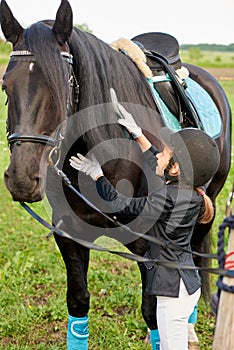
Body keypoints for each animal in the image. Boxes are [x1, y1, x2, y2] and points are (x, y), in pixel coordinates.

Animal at [0, 0, 231, 348]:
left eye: (59, 86)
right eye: (5, 86)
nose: (22, 179)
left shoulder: (148, 242)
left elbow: (153, 312)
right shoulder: (69, 233)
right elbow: (78, 302)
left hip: (209, 200)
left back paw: (189, 327)